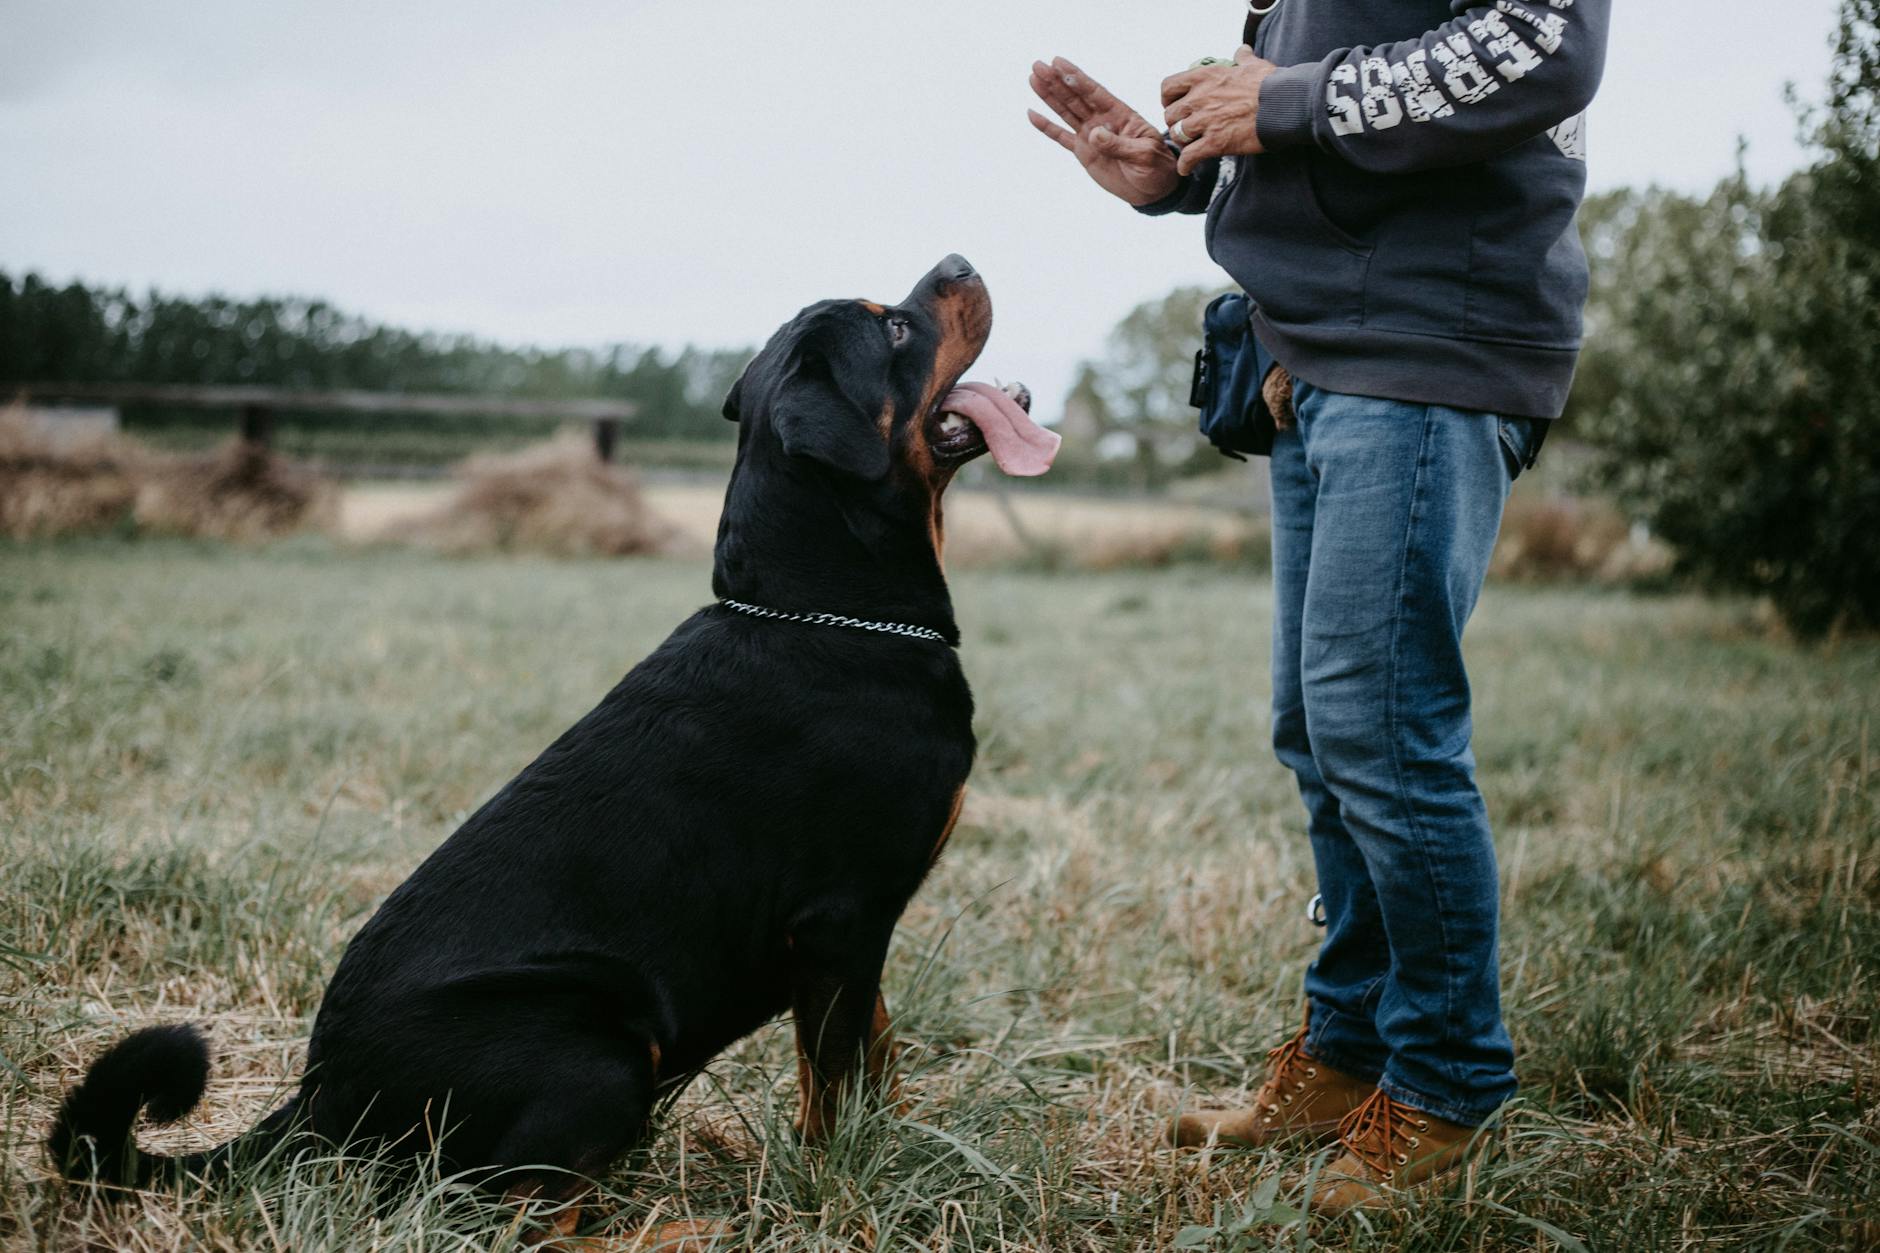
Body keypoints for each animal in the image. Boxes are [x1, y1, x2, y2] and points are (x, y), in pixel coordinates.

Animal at [47, 252, 1060, 1226]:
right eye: (894, 327)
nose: (959, 258)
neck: (825, 606)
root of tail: (318, 1099)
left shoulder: (859, 936)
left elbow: (877, 1063)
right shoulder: (841, 922)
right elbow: (836, 1086)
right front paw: (846, 1188)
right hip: (595, 1048)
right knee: (508, 1213)